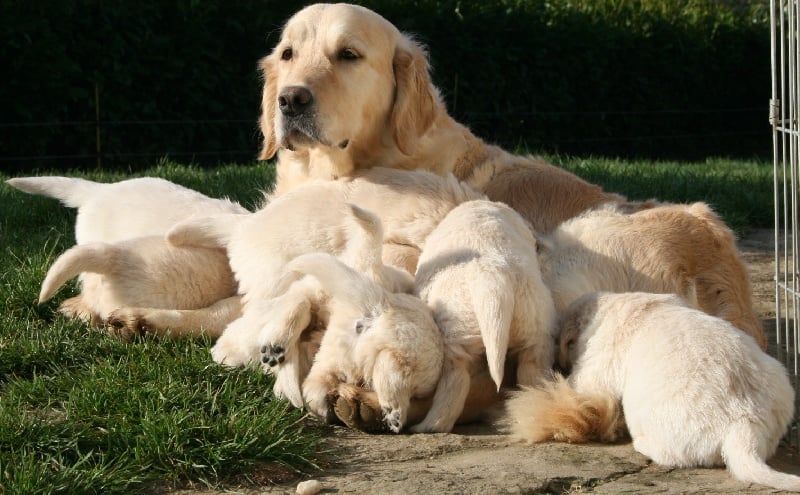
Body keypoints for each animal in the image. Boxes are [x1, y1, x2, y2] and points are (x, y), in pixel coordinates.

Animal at [410, 201, 560, 434]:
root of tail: (493, 278)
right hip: (535, 322)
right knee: (532, 370)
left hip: (456, 326)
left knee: (456, 379)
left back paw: (428, 426)